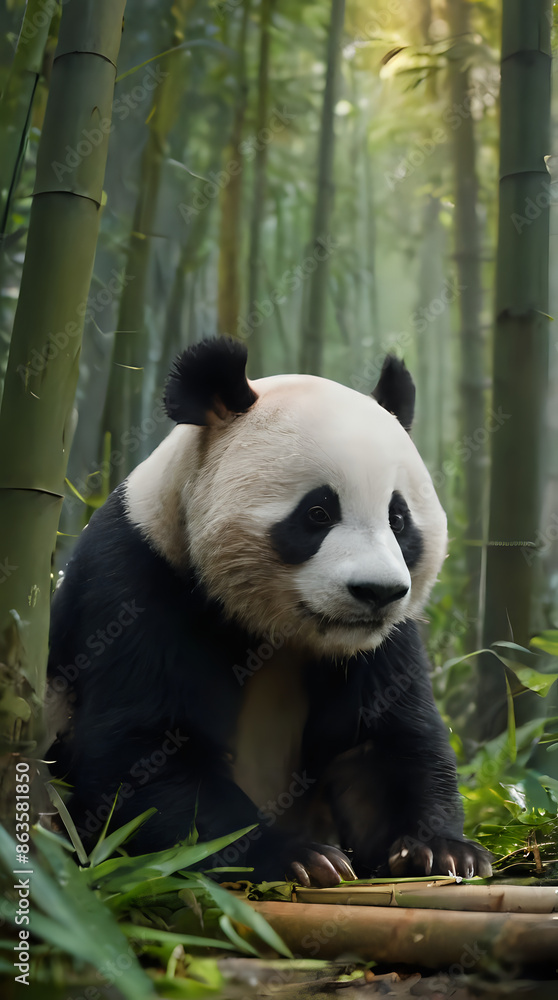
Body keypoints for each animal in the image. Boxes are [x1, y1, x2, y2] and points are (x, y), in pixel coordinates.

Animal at [47, 337, 491, 887]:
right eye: (318, 513)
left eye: (398, 518)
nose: (377, 592)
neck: (278, 632)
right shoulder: (137, 582)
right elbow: (146, 751)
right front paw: (297, 856)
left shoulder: (384, 640)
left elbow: (381, 742)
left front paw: (443, 850)